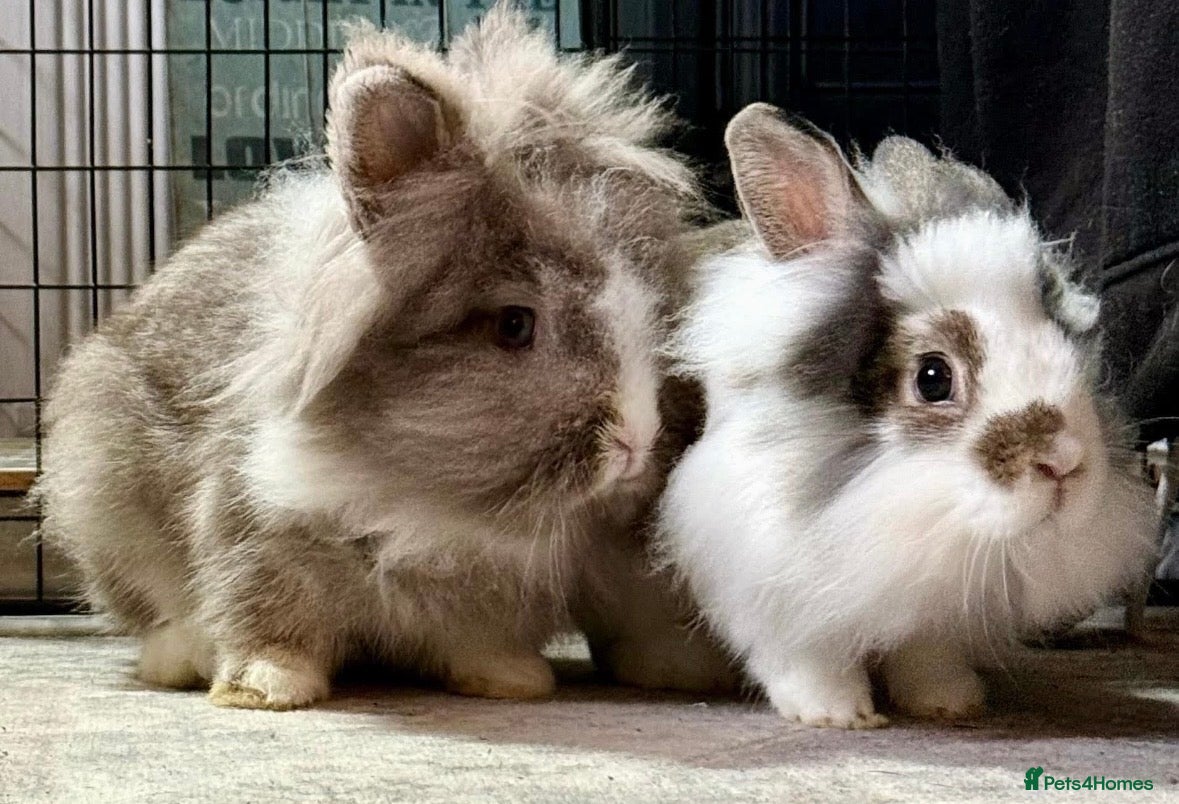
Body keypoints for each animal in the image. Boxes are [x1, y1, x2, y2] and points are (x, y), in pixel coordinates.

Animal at [34, 4, 735, 710]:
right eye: (515, 325)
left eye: (652, 309)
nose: (636, 443)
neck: (419, 496)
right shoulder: (253, 525)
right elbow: (264, 616)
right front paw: (265, 688)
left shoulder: (488, 592)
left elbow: (480, 641)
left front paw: (510, 681)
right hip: (100, 493)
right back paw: (180, 656)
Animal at [656, 103, 1158, 729]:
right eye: (933, 377)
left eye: (1068, 345)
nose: (1065, 462)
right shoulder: (759, 562)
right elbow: (805, 654)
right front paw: (835, 713)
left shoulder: (926, 591)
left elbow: (925, 648)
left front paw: (950, 701)